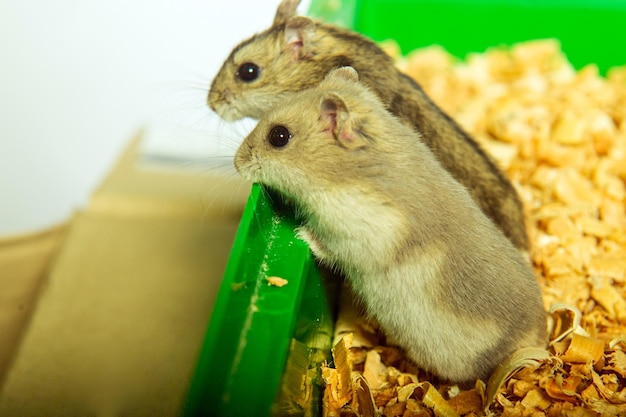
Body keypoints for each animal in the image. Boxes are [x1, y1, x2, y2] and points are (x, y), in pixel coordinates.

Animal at [232, 66, 544, 382]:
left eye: (279, 136)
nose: (235, 162)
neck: (345, 173)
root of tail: (537, 338)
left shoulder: (357, 233)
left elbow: (328, 246)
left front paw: (301, 233)